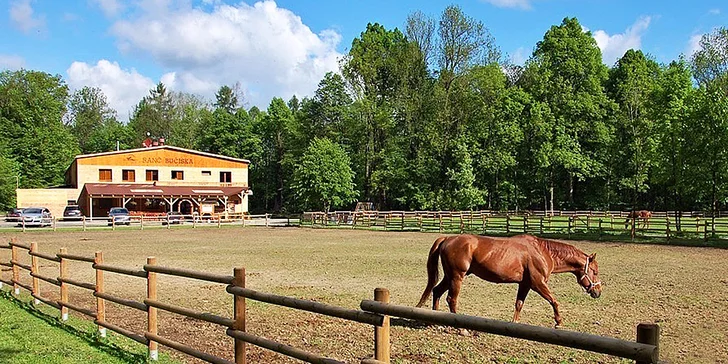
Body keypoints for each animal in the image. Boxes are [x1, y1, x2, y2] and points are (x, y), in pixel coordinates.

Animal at [416, 235, 604, 328]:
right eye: (594, 272)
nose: (598, 292)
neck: (543, 252)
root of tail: (447, 238)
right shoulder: (538, 284)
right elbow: (554, 301)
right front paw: (558, 321)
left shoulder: (525, 285)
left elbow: (519, 304)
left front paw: (515, 323)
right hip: (456, 277)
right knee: (451, 299)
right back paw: (460, 327)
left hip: (449, 276)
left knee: (436, 291)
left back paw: (434, 322)